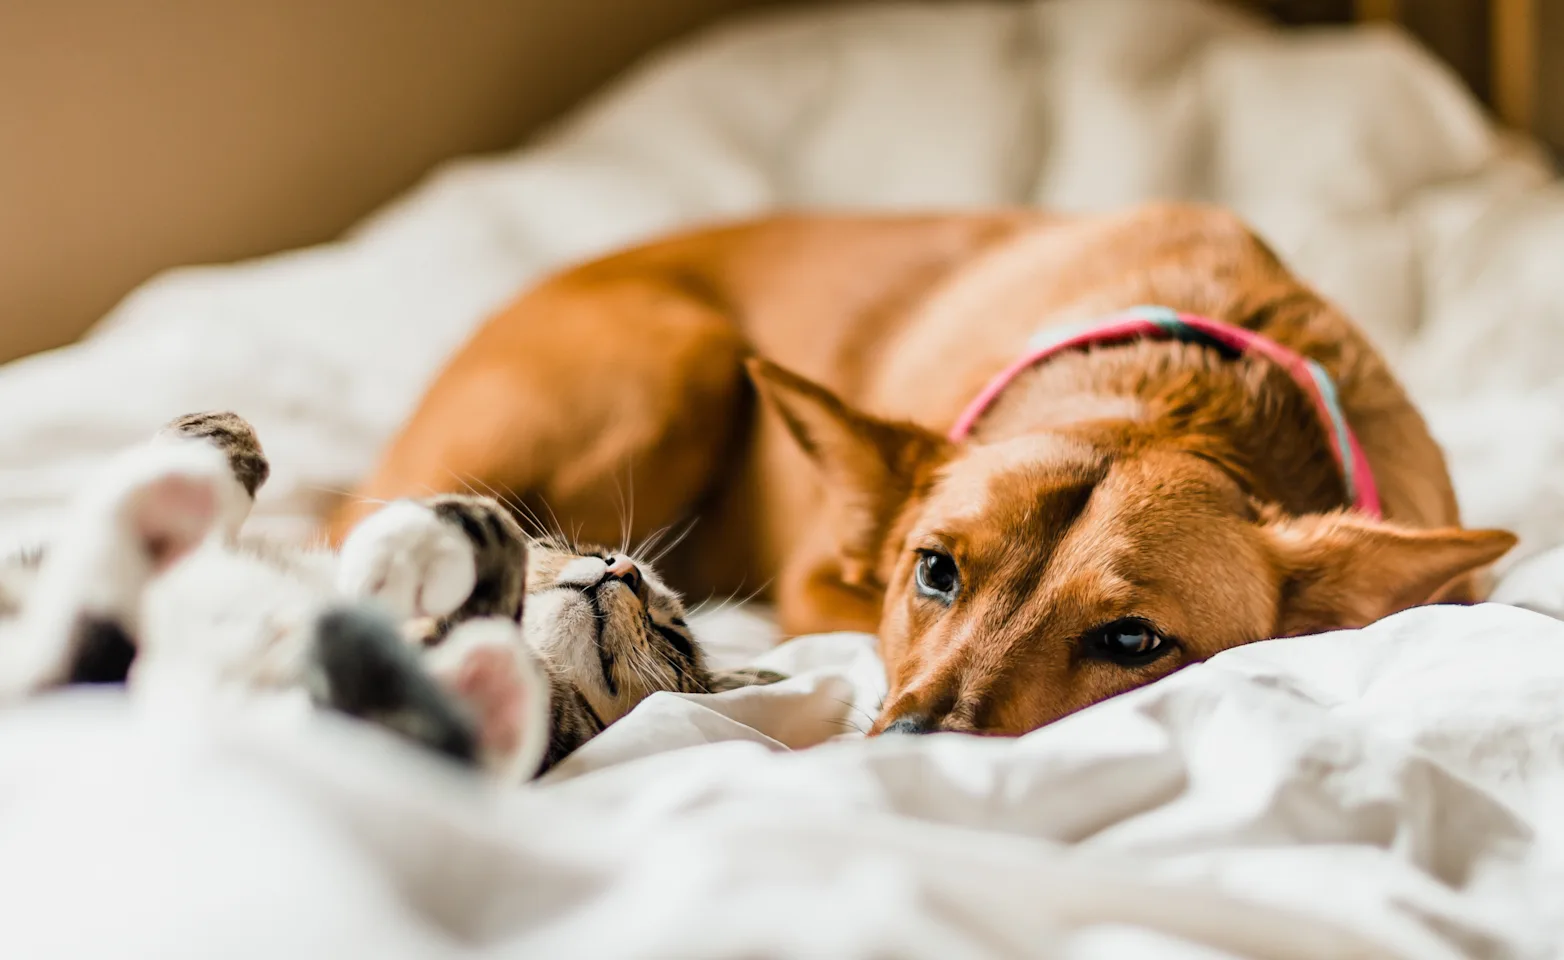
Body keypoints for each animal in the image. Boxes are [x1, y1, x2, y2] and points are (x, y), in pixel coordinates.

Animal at [0, 412, 782, 781]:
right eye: (575, 546)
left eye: (672, 633)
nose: (622, 569)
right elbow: (231, 433)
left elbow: (485, 541)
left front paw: (400, 556)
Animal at [330, 206, 1513, 737]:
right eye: (934, 572)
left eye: (1134, 642)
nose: (905, 744)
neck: (1175, 395)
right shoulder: (821, 581)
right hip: (675, 365)